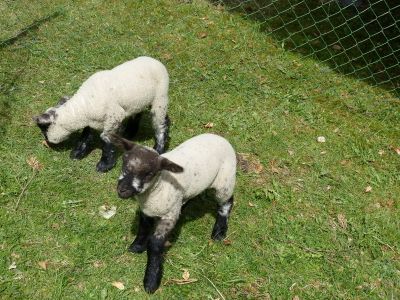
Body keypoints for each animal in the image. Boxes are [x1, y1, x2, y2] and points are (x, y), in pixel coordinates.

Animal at [34, 56, 170, 172]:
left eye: (44, 130)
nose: (47, 143)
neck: (84, 107)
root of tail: (156, 61)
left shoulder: (114, 116)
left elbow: (106, 139)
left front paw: (104, 165)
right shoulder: (91, 120)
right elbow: (85, 135)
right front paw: (77, 153)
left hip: (160, 97)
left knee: (161, 122)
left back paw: (159, 149)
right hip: (137, 101)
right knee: (137, 115)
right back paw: (128, 133)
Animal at [109, 133, 236, 292]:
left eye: (149, 173)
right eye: (124, 163)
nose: (123, 190)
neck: (159, 186)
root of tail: (218, 136)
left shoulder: (169, 217)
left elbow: (155, 245)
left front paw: (151, 280)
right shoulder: (147, 210)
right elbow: (143, 228)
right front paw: (137, 246)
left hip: (225, 181)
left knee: (227, 201)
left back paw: (219, 231)